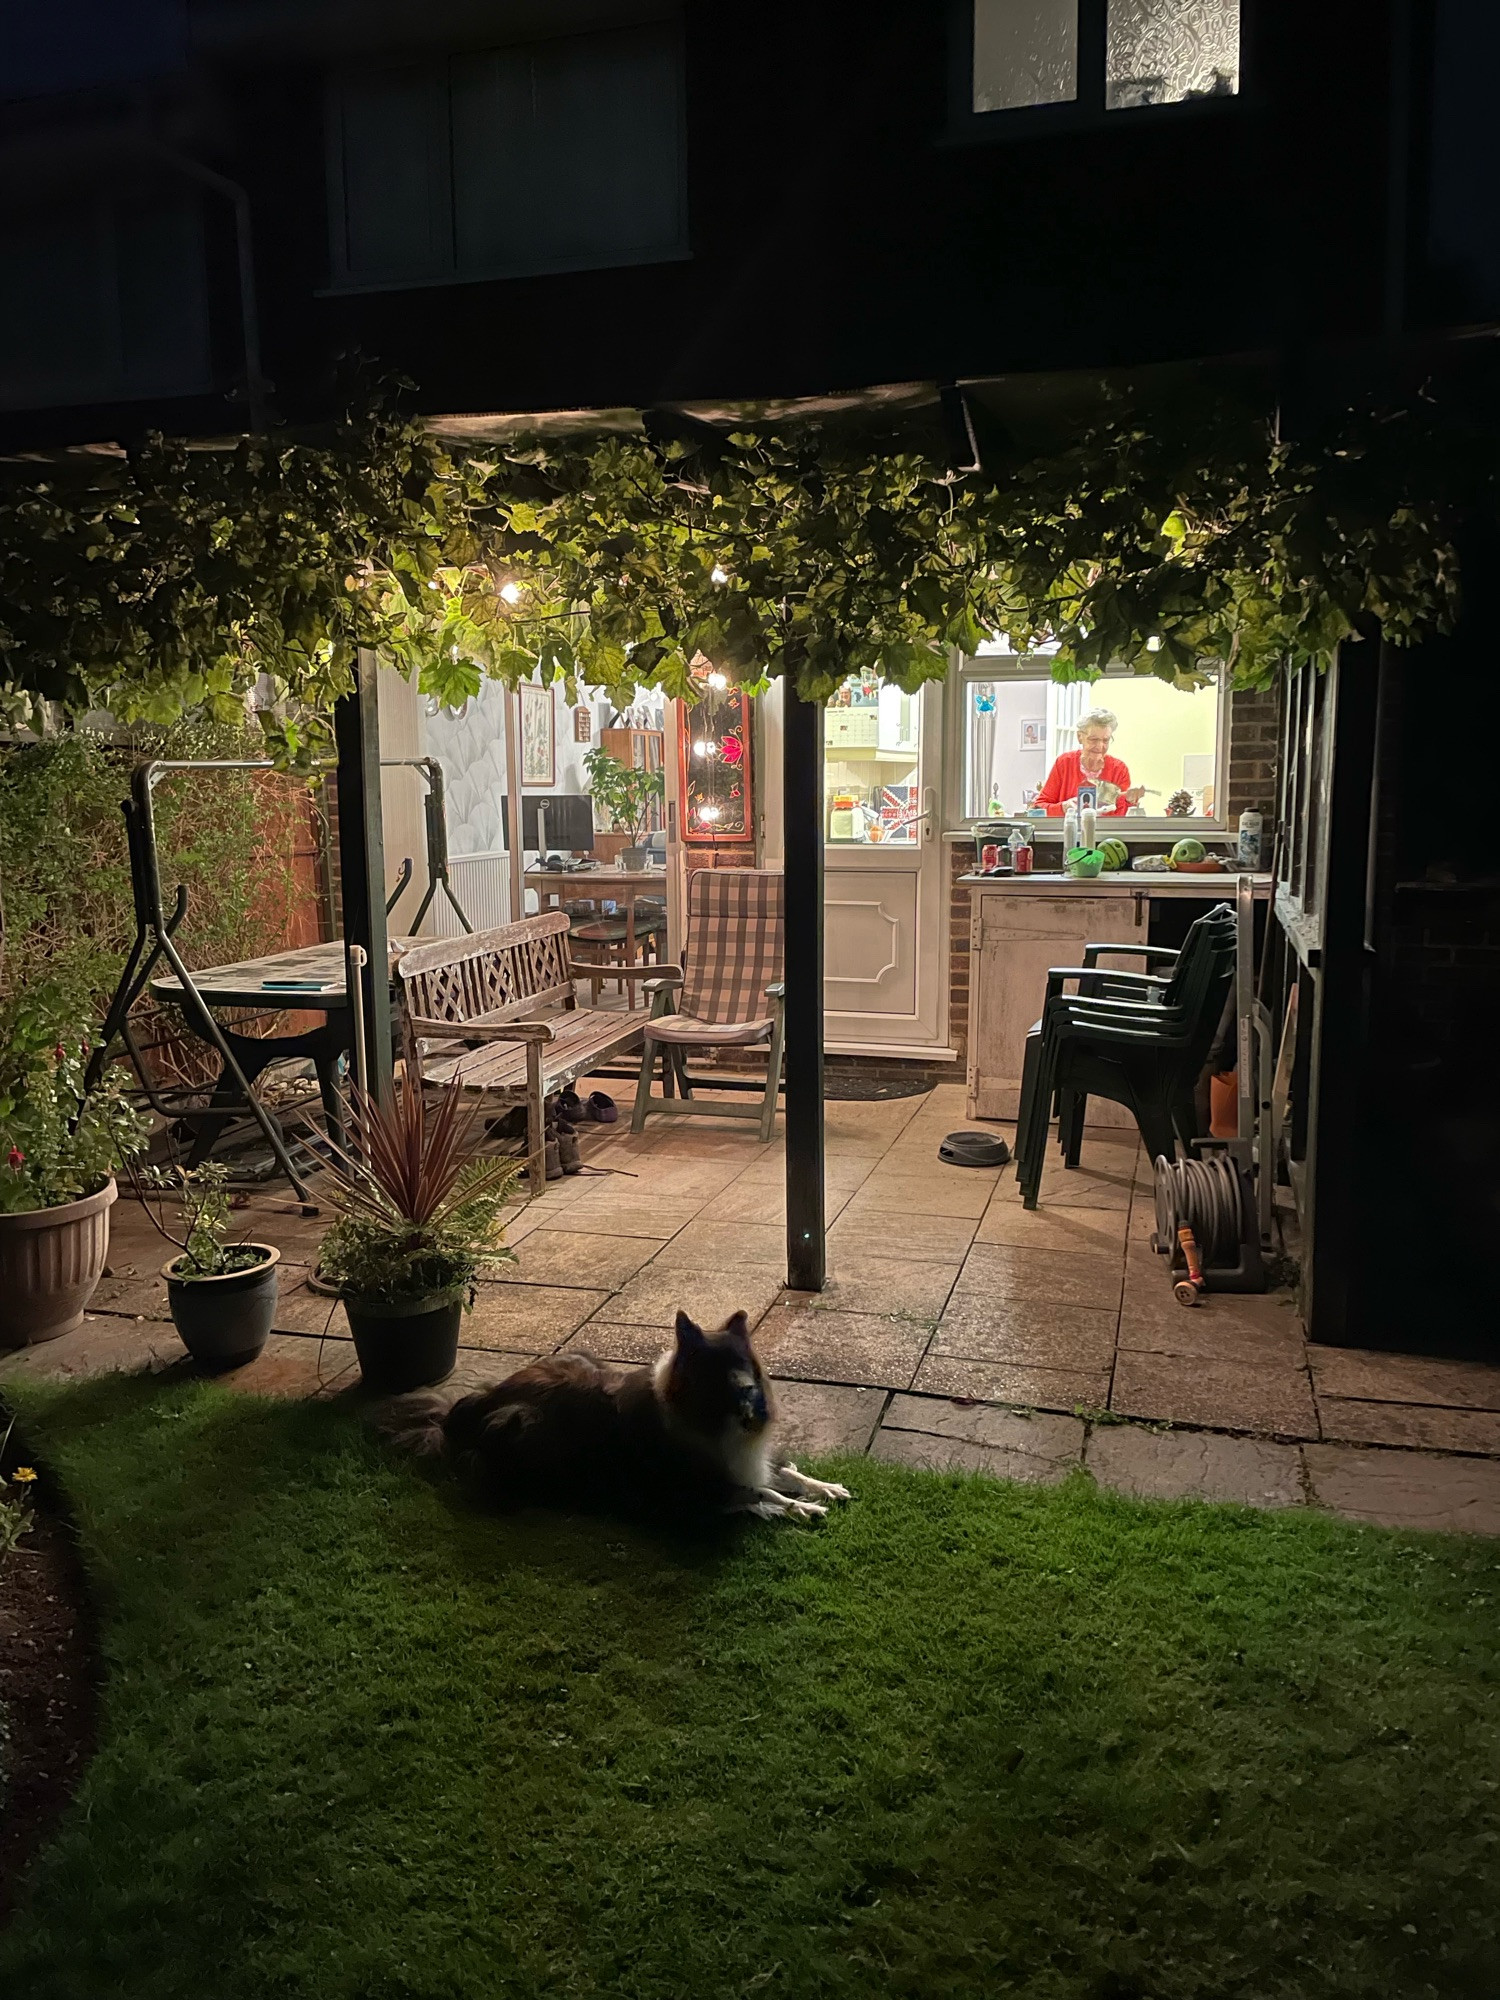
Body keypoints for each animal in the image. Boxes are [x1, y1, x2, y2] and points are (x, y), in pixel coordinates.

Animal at [394, 1304, 852, 1520]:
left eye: (743, 1361)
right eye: (716, 1368)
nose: (753, 1401)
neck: (710, 1418)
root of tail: (464, 1411)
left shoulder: (745, 1459)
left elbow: (783, 1472)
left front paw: (823, 1487)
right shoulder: (696, 1489)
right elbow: (764, 1492)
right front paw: (801, 1508)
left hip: (578, 1355)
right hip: (522, 1424)